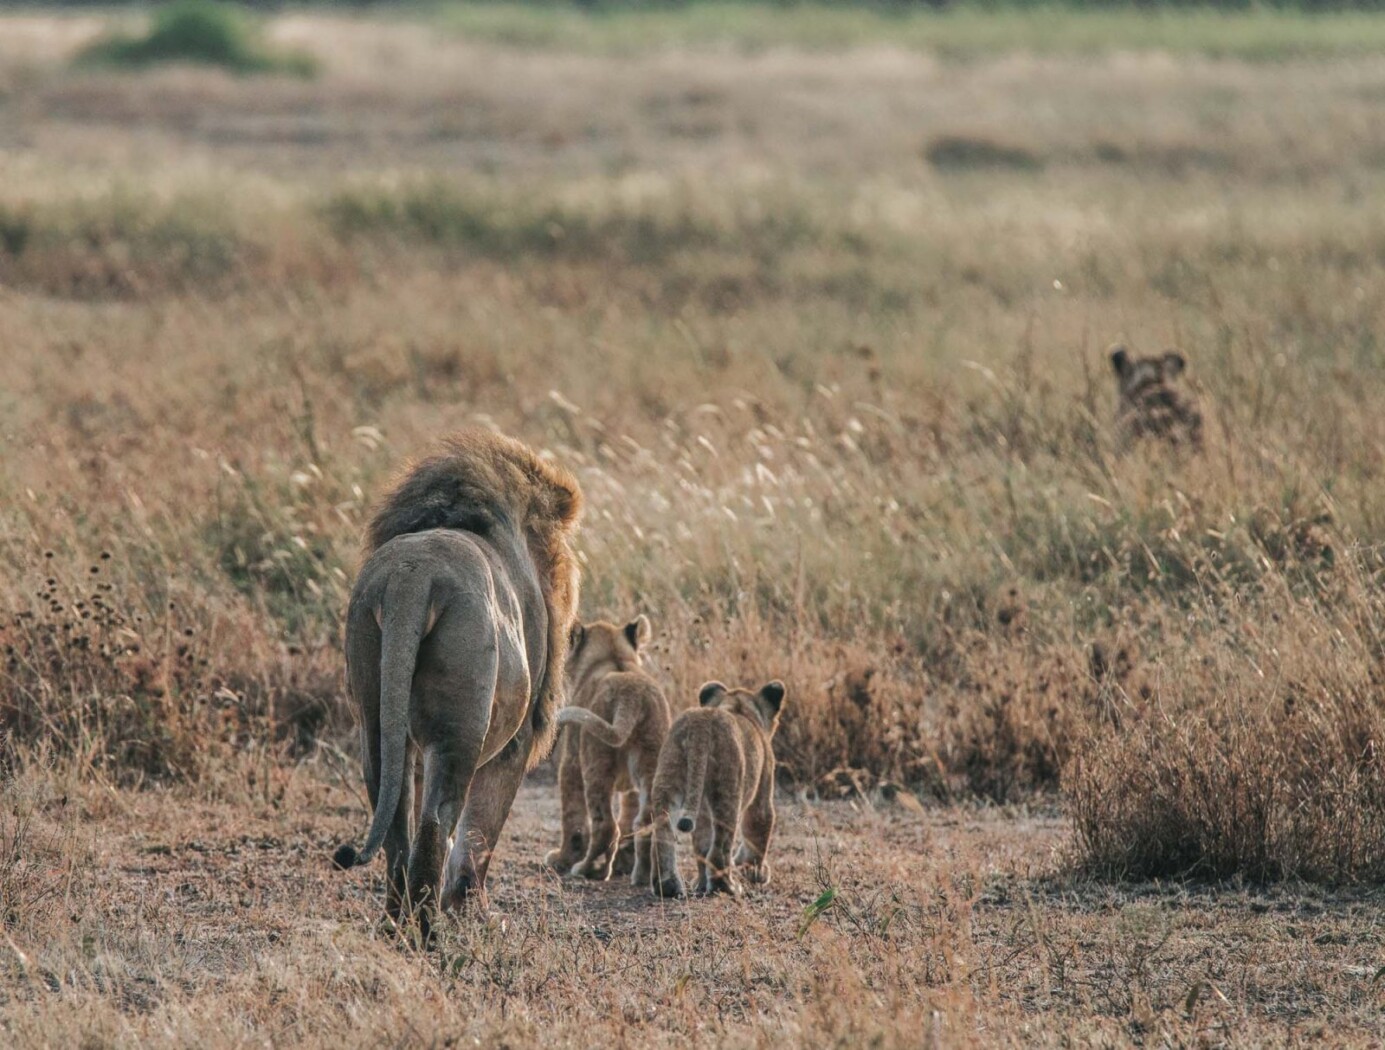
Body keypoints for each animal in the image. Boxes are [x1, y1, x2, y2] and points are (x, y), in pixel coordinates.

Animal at [332, 432, 581, 930]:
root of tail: (411, 578)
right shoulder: (518, 740)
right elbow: (482, 827)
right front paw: (474, 910)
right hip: (459, 728)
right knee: (436, 823)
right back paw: (428, 930)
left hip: (374, 712)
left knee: (397, 823)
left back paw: (396, 924)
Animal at [551, 617, 675, 886]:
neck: (612, 655)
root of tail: (632, 696)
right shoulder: (631, 785)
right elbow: (628, 812)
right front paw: (624, 861)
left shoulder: (571, 760)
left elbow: (572, 814)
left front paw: (561, 859)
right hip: (651, 758)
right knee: (647, 819)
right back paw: (642, 874)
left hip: (595, 758)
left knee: (605, 824)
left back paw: (589, 869)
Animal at [645, 687, 786, 903]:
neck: (738, 707)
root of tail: (701, 721)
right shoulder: (764, 783)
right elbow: (759, 826)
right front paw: (756, 872)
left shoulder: (701, 810)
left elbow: (701, 845)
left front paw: (700, 883)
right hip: (728, 788)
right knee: (720, 846)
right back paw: (727, 887)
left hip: (667, 778)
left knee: (663, 836)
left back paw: (668, 886)